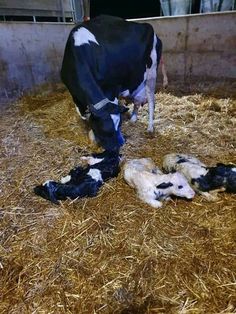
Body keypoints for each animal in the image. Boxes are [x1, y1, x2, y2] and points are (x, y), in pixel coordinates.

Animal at [60, 15, 163, 151]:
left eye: (119, 125)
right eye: (104, 131)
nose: (118, 145)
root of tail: (147, 26)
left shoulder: (112, 87)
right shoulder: (75, 96)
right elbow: (85, 116)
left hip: (152, 71)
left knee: (151, 100)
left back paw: (150, 127)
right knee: (137, 101)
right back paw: (133, 118)